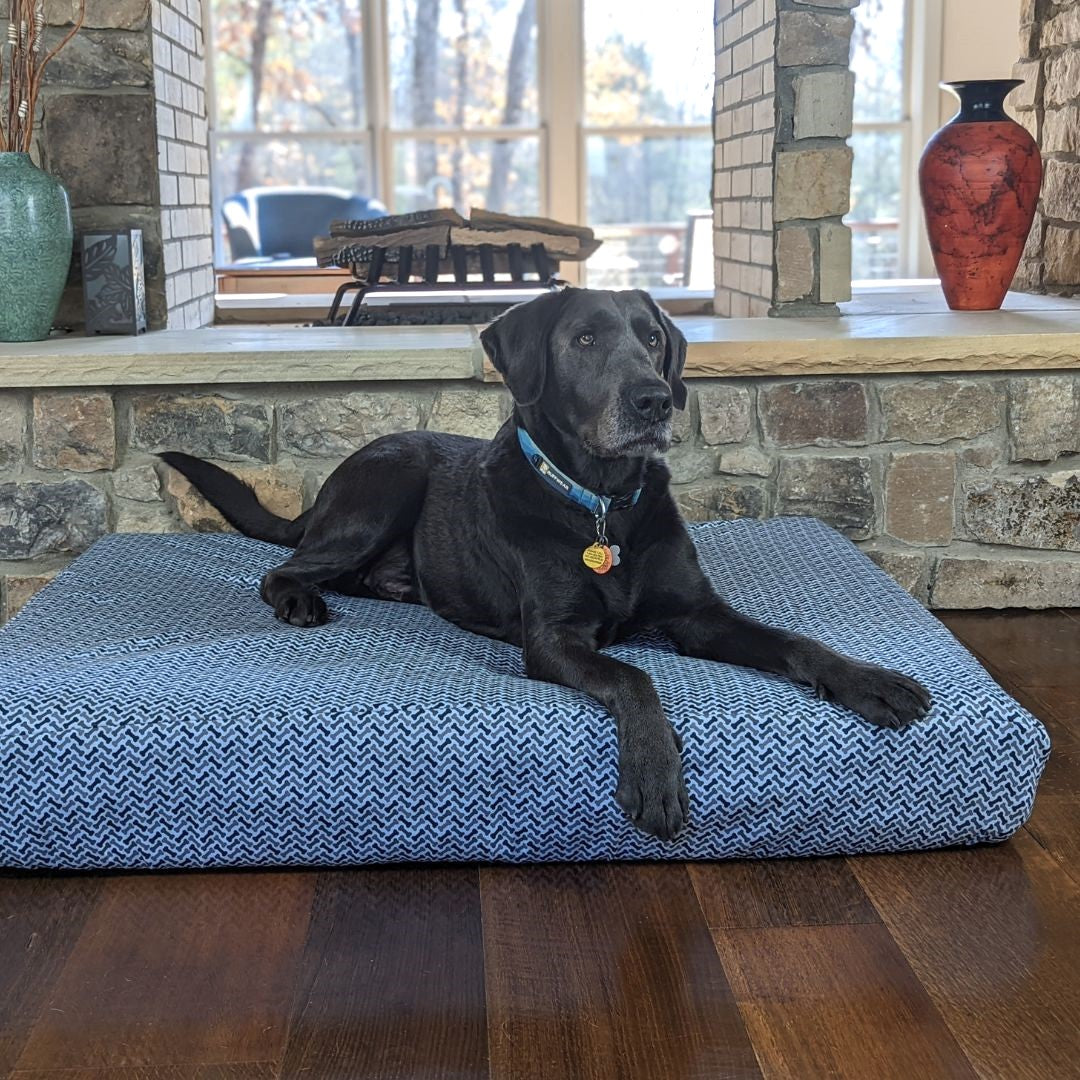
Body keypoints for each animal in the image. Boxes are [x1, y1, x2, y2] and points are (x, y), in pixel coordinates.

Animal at [159, 289, 928, 842]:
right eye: (584, 340)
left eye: (652, 338)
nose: (653, 399)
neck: (604, 505)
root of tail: (323, 494)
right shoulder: (553, 639)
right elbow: (635, 676)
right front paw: (655, 772)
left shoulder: (699, 615)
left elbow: (798, 642)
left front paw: (871, 681)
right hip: (388, 483)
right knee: (283, 567)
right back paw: (301, 600)